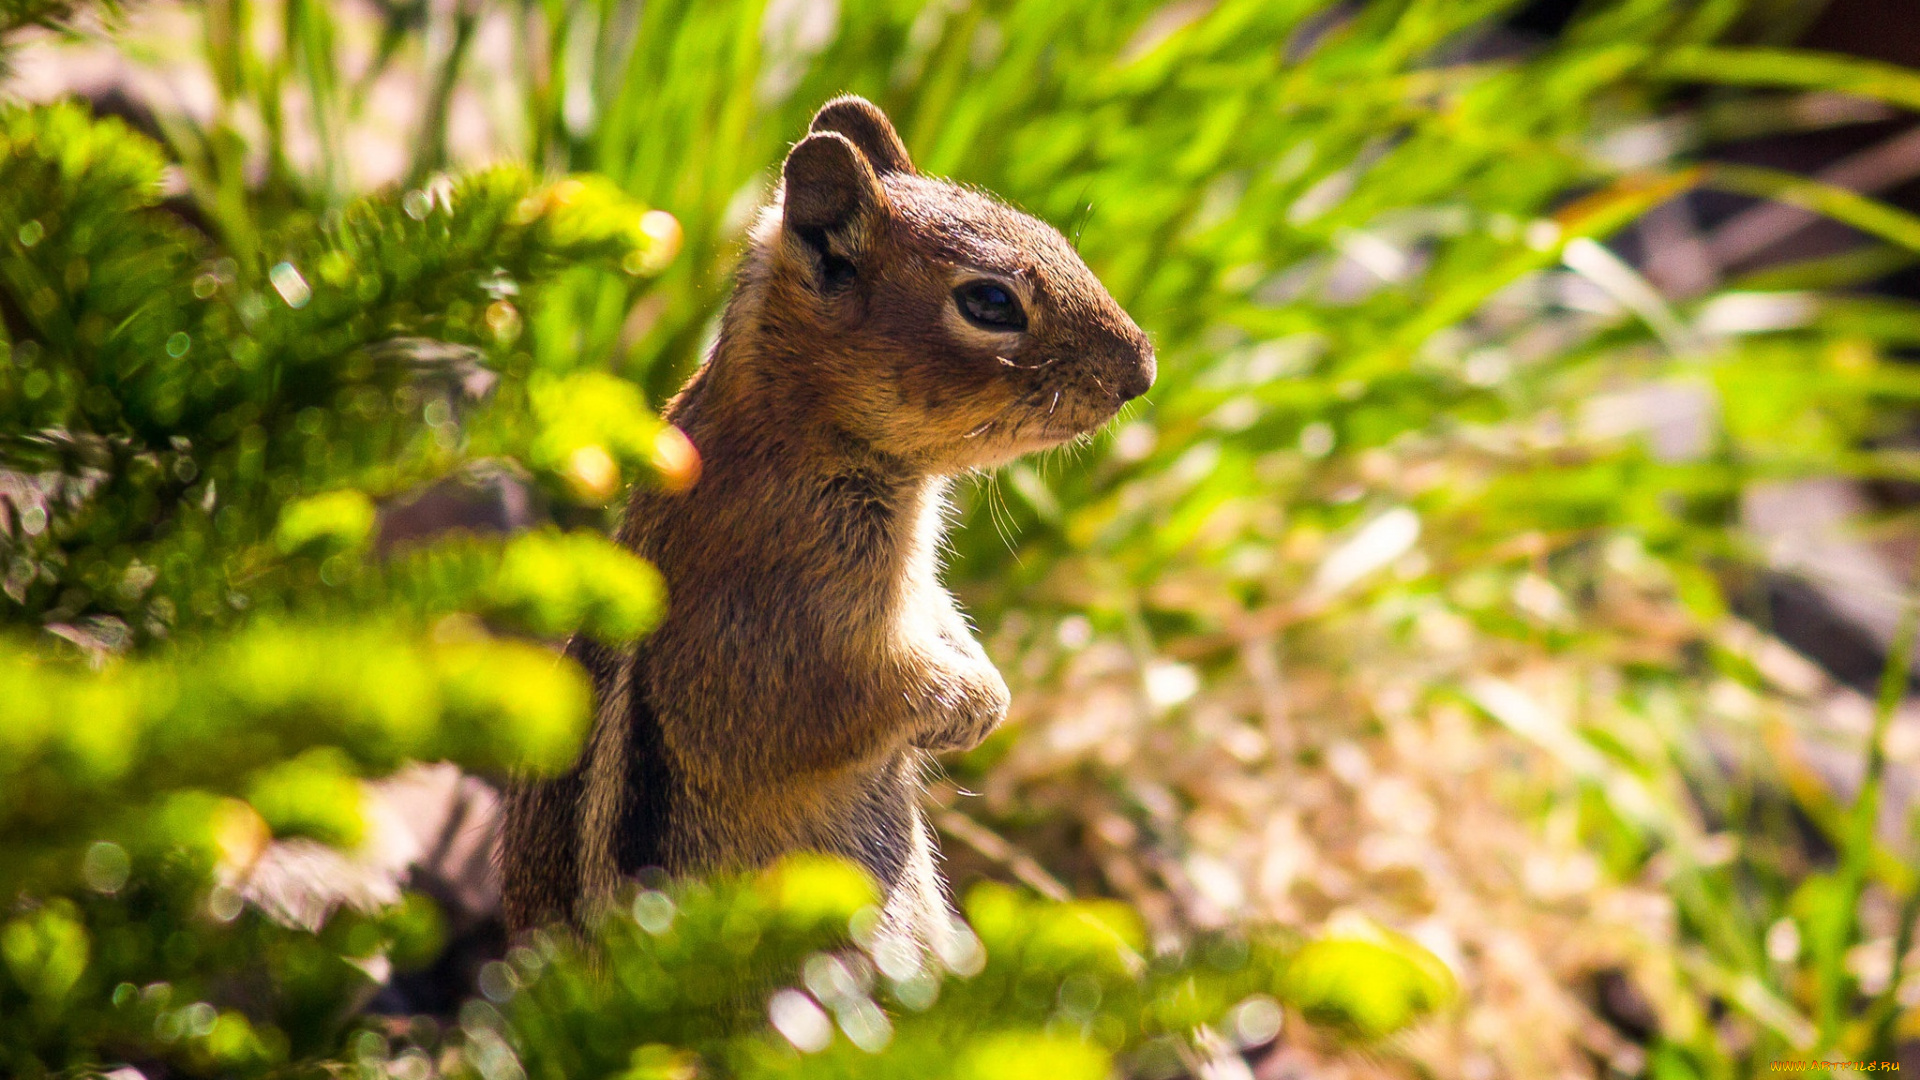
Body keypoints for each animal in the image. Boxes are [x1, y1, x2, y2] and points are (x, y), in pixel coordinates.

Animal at [499, 96, 1154, 947]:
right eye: (990, 303)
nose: (1143, 371)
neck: (797, 421)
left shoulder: (917, 589)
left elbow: (943, 622)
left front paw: (988, 686)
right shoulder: (790, 620)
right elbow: (840, 700)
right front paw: (976, 709)